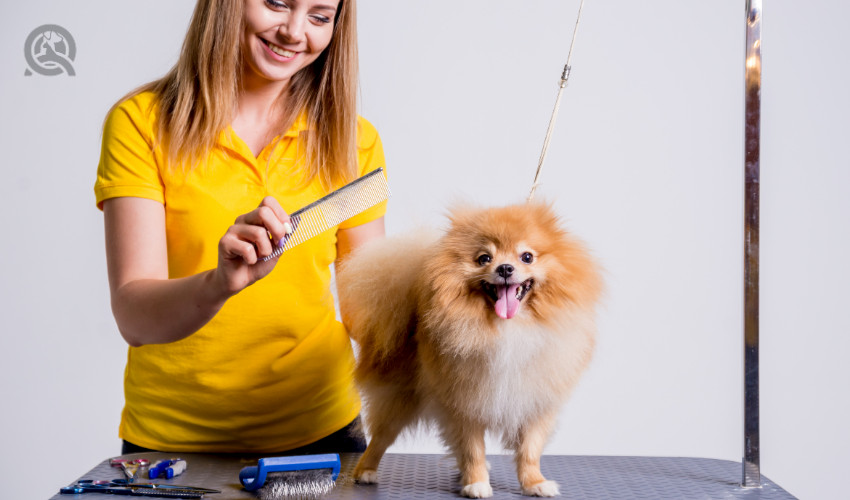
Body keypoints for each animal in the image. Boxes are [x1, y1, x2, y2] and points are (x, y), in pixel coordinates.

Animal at [334, 201, 600, 498]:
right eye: (484, 258)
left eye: (527, 257)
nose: (505, 268)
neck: (508, 328)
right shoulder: (464, 402)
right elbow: (472, 450)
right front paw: (477, 483)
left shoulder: (534, 401)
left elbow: (530, 450)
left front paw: (534, 483)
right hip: (399, 399)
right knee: (380, 437)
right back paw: (365, 471)